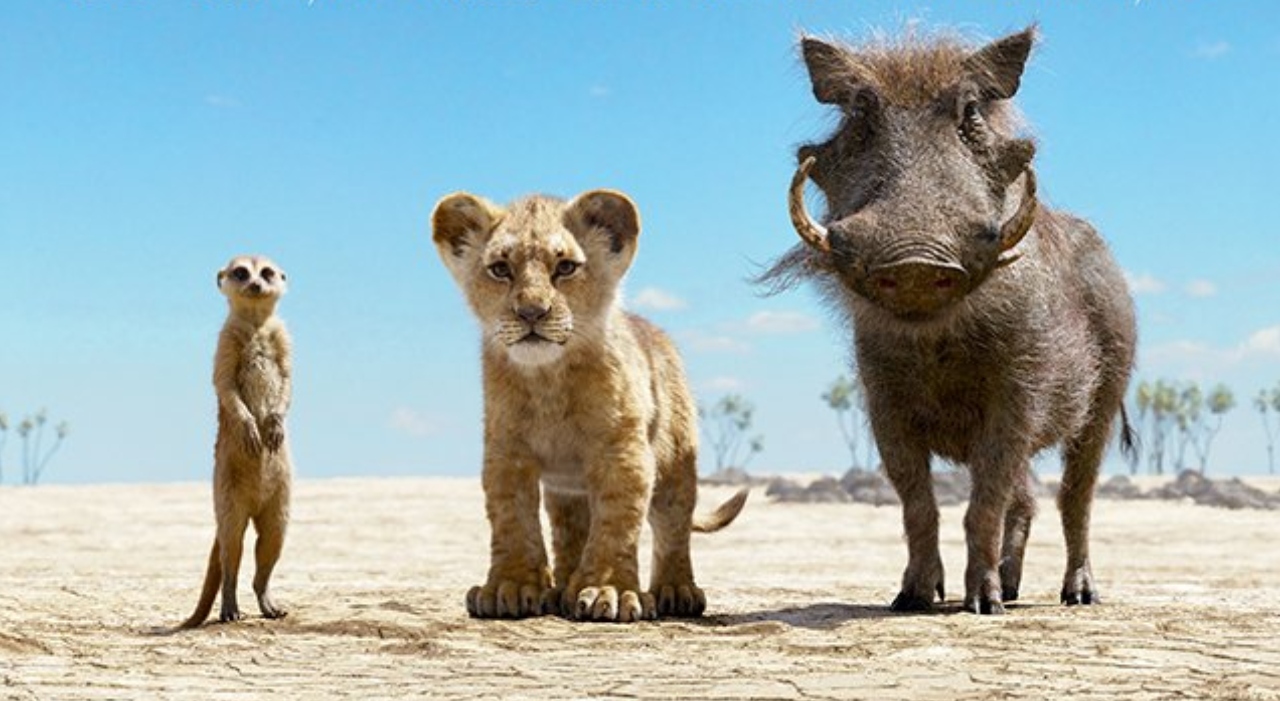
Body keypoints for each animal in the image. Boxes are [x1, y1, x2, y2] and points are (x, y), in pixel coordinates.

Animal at [431, 189, 748, 622]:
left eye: (565, 267)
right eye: (499, 269)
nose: (531, 312)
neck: (548, 379)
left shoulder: (622, 450)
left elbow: (617, 522)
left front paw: (607, 591)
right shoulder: (506, 452)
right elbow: (512, 519)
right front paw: (510, 587)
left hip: (675, 465)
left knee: (673, 526)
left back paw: (676, 591)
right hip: (567, 490)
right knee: (570, 530)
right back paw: (561, 590)